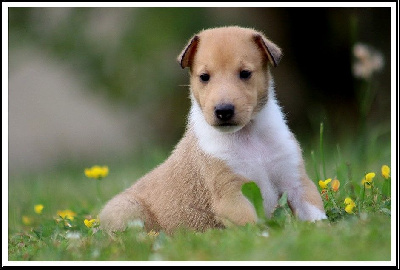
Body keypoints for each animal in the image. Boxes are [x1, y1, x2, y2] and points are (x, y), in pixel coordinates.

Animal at [98, 25, 326, 234]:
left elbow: (314, 213)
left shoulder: (296, 182)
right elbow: (251, 226)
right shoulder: (230, 194)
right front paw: (265, 237)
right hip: (127, 209)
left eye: (245, 73)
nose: (223, 111)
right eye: (204, 77)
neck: (247, 136)